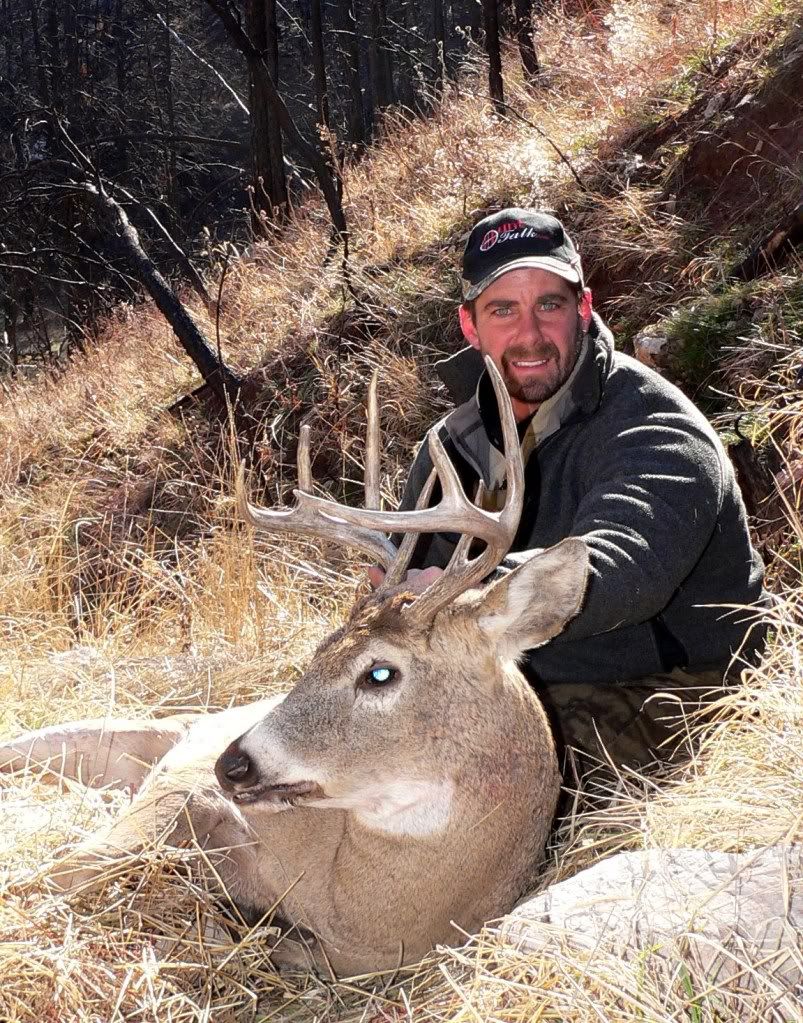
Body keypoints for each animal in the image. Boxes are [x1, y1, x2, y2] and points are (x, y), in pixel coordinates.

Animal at [0, 358, 590, 978]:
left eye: (380, 673)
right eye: (317, 650)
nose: (231, 763)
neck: (351, 904)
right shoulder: (183, 795)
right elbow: (66, 871)